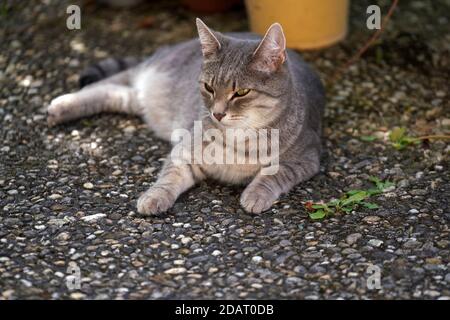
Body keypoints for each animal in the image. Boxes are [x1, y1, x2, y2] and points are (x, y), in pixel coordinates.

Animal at [47, 19, 326, 215]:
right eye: (209, 87)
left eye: (241, 92)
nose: (217, 113)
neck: (240, 138)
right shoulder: (184, 151)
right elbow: (168, 177)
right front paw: (154, 197)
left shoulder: (306, 158)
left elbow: (274, 174)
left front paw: (256, 194)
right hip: (150, 75)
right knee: (105, 83)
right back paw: (62, 105)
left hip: (140, 99)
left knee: (113, 92)